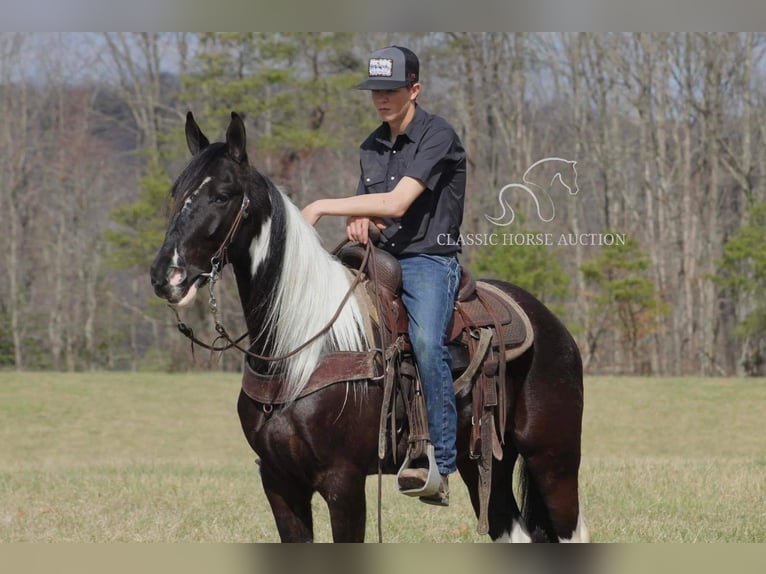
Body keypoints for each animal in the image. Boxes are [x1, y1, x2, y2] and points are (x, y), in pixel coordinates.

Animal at [152, 112, 592, 544]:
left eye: (223, 194)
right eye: (176, 193)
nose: (165, 276)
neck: (298, 349)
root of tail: (554, 326)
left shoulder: (343, 481)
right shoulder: (278, 481)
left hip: (553, 458)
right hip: (484, 462)